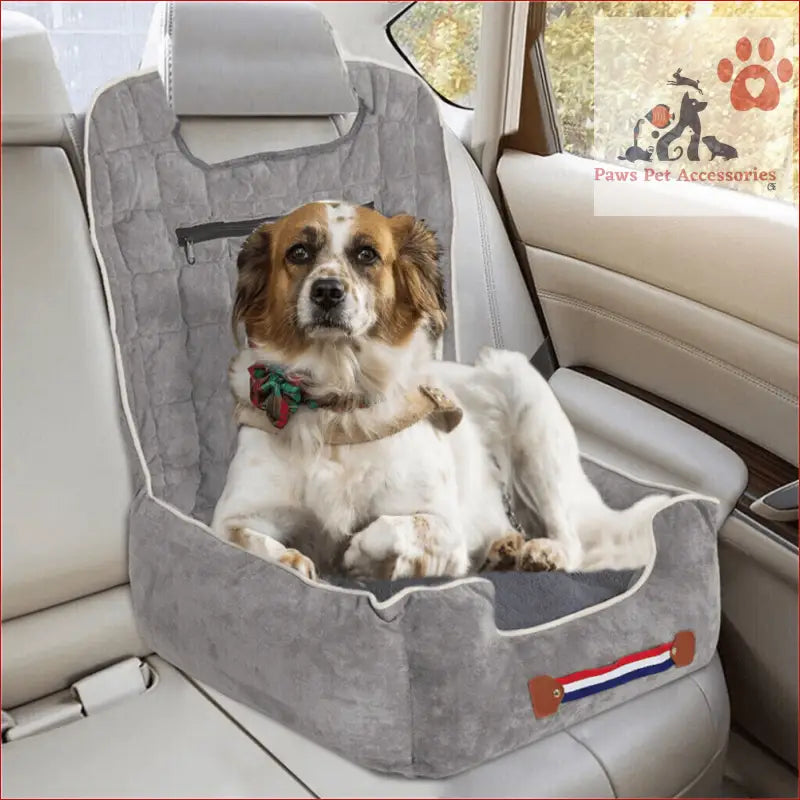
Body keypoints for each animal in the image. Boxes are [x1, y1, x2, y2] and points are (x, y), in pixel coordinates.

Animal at [209, 202, 664, 580]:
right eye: (299, 253)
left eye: (366, 254)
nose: (327, 292)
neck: (337, 405)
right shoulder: (231, 518)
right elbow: (251, 541)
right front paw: (295, 561)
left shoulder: (445, 528)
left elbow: (393, 528)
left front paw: (359, 553)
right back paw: (504, 548)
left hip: (528, 415)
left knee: (569, 539)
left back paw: (540, 551)